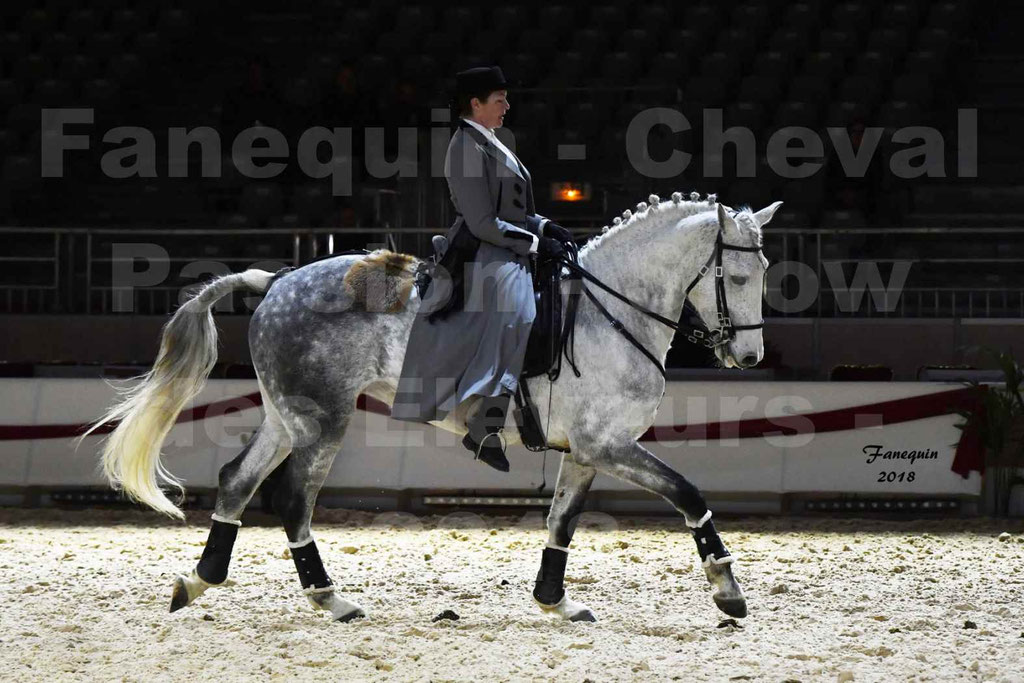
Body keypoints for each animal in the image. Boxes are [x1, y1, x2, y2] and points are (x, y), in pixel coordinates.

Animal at [85, 192, 780, 623]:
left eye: (767, 270)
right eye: (740, 277)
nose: (748, 356)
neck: (611, 309)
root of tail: (277, 281)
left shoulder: (586, 451)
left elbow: (561, 524)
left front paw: (555, 602)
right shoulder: (608, 446)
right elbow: (688, 493)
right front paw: (727, 590)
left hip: (287, 417)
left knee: (236, 481)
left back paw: (198, 580)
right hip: (324, 420)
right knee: (291, 498)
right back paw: (330, 600)